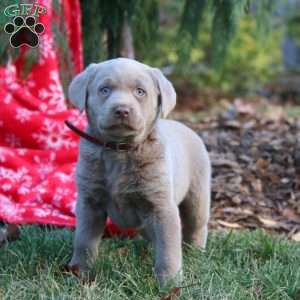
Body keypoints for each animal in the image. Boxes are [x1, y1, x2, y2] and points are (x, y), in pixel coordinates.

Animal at [67, 58, 211, 286]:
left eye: (140, 92)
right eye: (104, 90)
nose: (122, 110)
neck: (119, 150)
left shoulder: (161, 206)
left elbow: (168, 248)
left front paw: (169, 282)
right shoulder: (89, 202)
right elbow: (84, 240)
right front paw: (80, 271)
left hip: (197, 195)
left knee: (196, 226)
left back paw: (195, 253)